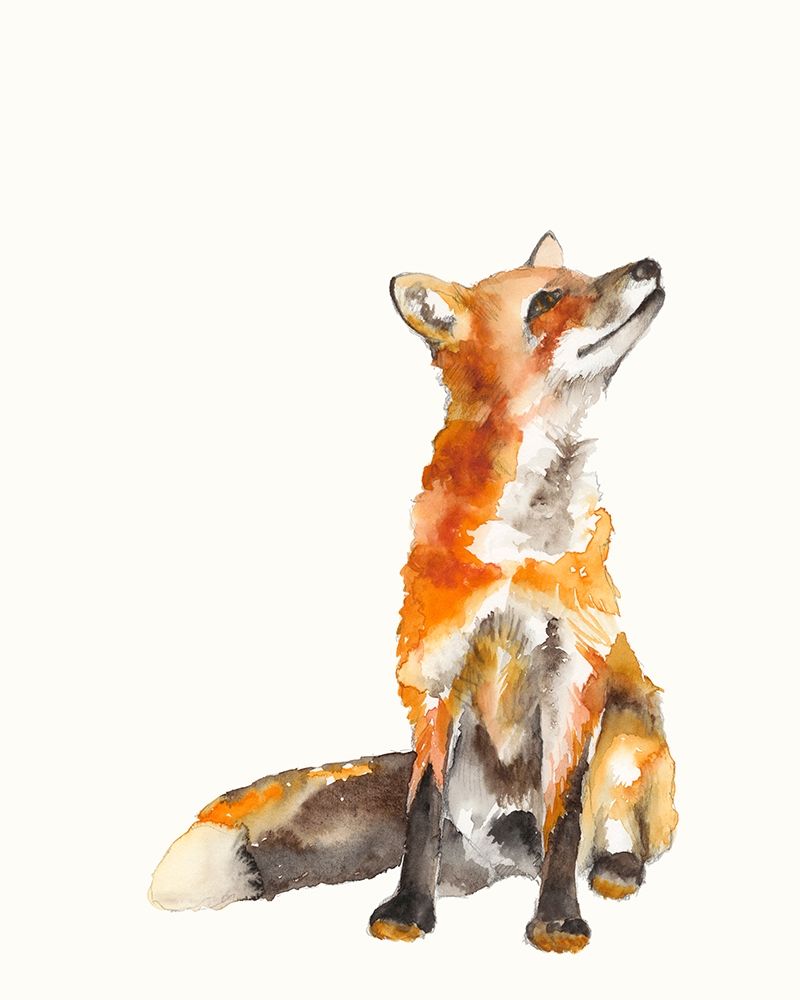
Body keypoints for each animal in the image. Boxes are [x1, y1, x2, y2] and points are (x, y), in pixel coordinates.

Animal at [150, 233, 677, 953]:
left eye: (585, 276)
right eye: (546, 300)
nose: (650, 265)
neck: (520, 548)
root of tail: (503, 858)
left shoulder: (574, 668)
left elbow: (565, 814)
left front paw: (556, 920)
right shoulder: (434, 669)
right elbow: (420, 807)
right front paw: (408, 910)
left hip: (629, 733)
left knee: (604, 828)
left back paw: (612, 866)